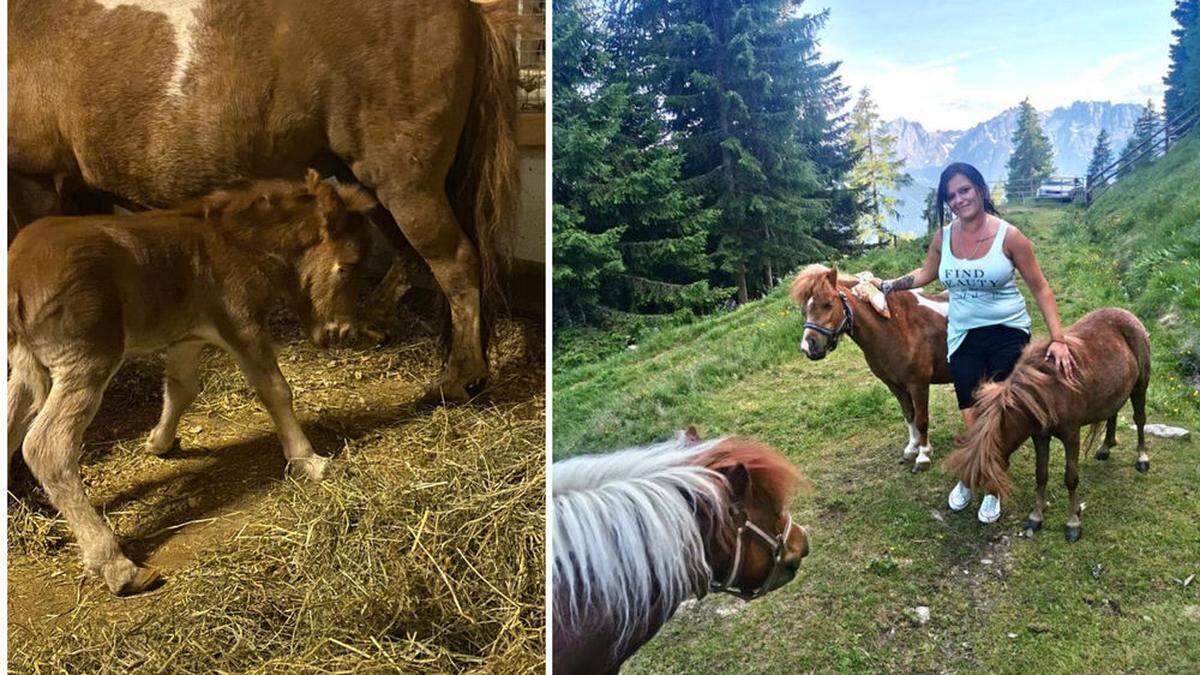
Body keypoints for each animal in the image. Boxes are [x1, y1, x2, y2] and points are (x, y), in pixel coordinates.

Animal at [7, 169, 374, 593]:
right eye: (348, 266)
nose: (341, 333)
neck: (232, 242)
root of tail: (15, 282)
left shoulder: (188, 335)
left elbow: (181, 388)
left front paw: (159, 443)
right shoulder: (242, 323)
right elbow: (275, 389)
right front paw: (309, 462)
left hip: (26, 366)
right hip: (85, 361)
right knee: (47, 447)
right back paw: (117, 565)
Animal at [8, 0, 520, 398]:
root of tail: (471, 11)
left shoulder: (33, 180)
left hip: (405, 181)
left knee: (455, 263)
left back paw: (460, 377)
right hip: (373, 182)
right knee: (410, 257)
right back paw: (378, 323)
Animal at [792, 263, 950, 468]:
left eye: (827, 304)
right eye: (805, 310)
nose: (807, 347)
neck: (898, 327)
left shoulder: (918, 384)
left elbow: (922, 419)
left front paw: (923, 455)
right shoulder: (895, 385)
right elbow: (910, 415)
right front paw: (912, 449)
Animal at [940, 307, 1147, 538]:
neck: (1049, 392)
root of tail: (1126, 313)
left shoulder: (1071, 437)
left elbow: (1071, 478)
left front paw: (1073, 522)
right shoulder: (1039, 436)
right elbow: (1041, 475)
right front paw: (1036, 516)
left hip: (1141, 385)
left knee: (1140, 419)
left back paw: (1142, 458)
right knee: (1113, 412)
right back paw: (1105, 447)